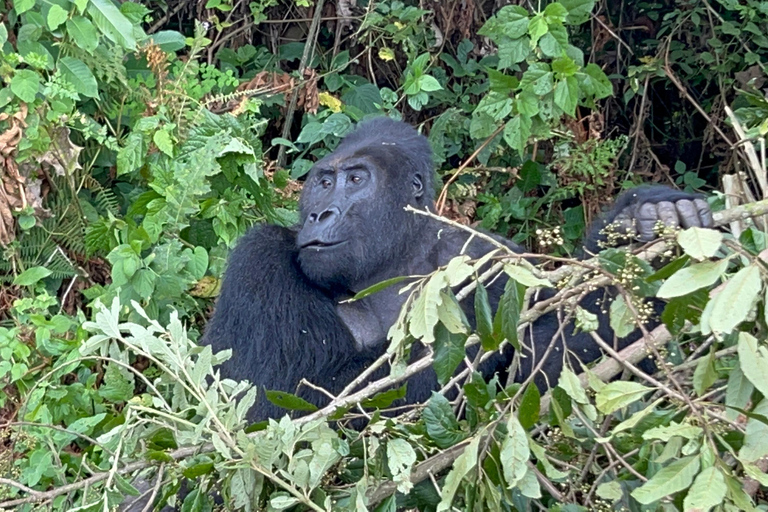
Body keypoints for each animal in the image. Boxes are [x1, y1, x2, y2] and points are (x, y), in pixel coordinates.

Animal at [201, 118, 712, 422]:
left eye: (355, 179)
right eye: (323, 182)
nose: (318, 213)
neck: (395, 262)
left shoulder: (495, 257)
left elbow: (549, 376)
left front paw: (635, 230)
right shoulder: (258, 260)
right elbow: (267, 405)